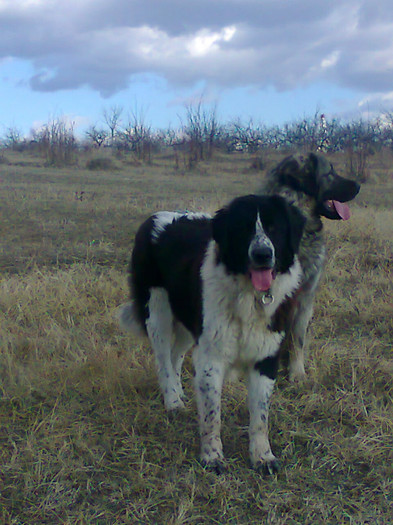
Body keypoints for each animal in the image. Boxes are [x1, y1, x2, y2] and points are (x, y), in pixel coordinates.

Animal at [121, 194, 304, 472]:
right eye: (243, 228)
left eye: (274, 228)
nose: (262, 254)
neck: (248, 297)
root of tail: (154, 217)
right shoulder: (211, 357)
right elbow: (211, 414)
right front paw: (212, 456)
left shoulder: (265, 357)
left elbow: (260, 417)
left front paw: (263, 457)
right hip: (158, 311)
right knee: (163, 360)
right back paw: (172, 400)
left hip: (189, 321)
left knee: (175, 355)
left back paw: (179, 393)